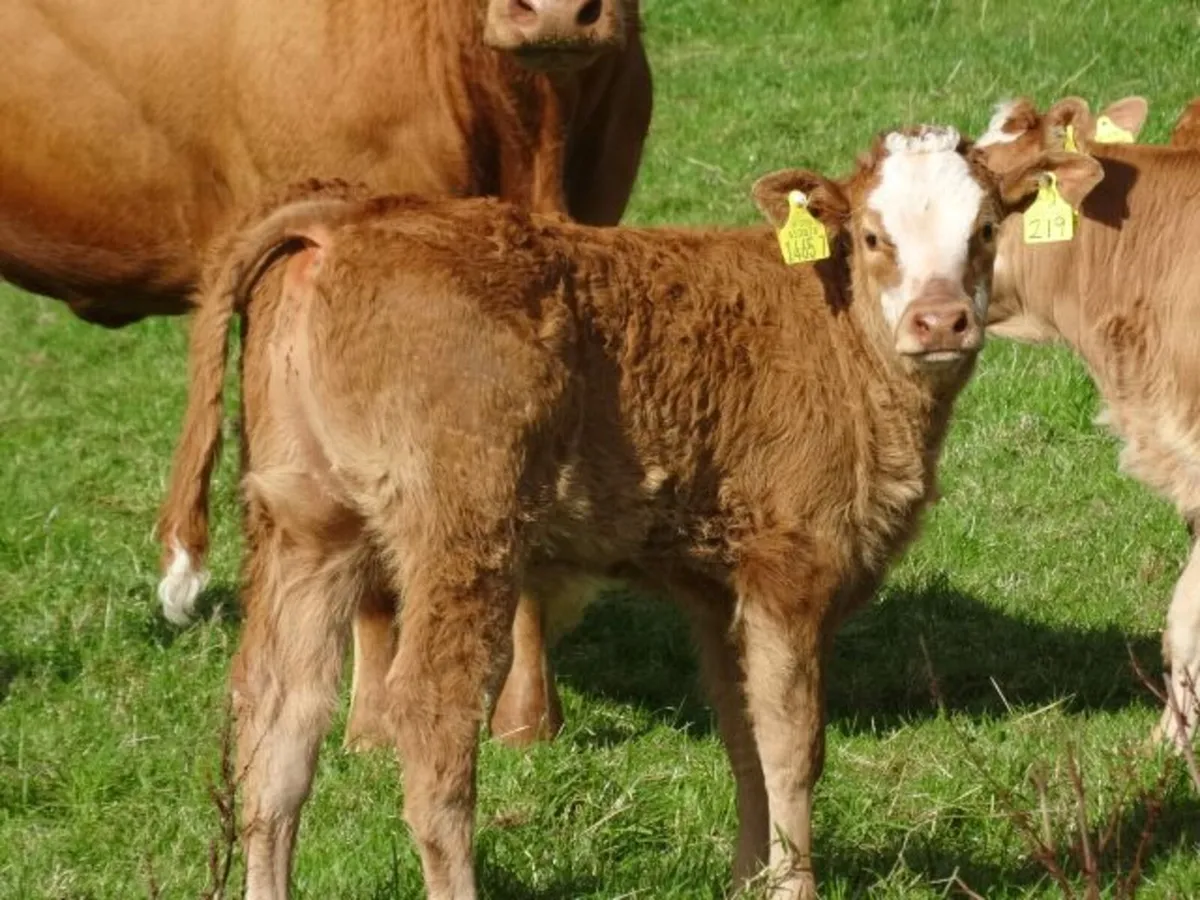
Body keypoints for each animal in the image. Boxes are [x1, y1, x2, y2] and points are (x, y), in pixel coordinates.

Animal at [158, 125, 1091, 899]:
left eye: (985, 231)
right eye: (871, 236)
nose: (942, 320)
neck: (837, 337)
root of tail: (353, 215)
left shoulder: (716, 582)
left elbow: (743, 734)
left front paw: (746, 878)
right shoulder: (790, 565)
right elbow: (794, 746)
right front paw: (792, 885)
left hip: (305, 526)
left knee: (277, 726)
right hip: (461, 534)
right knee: (429, 720)